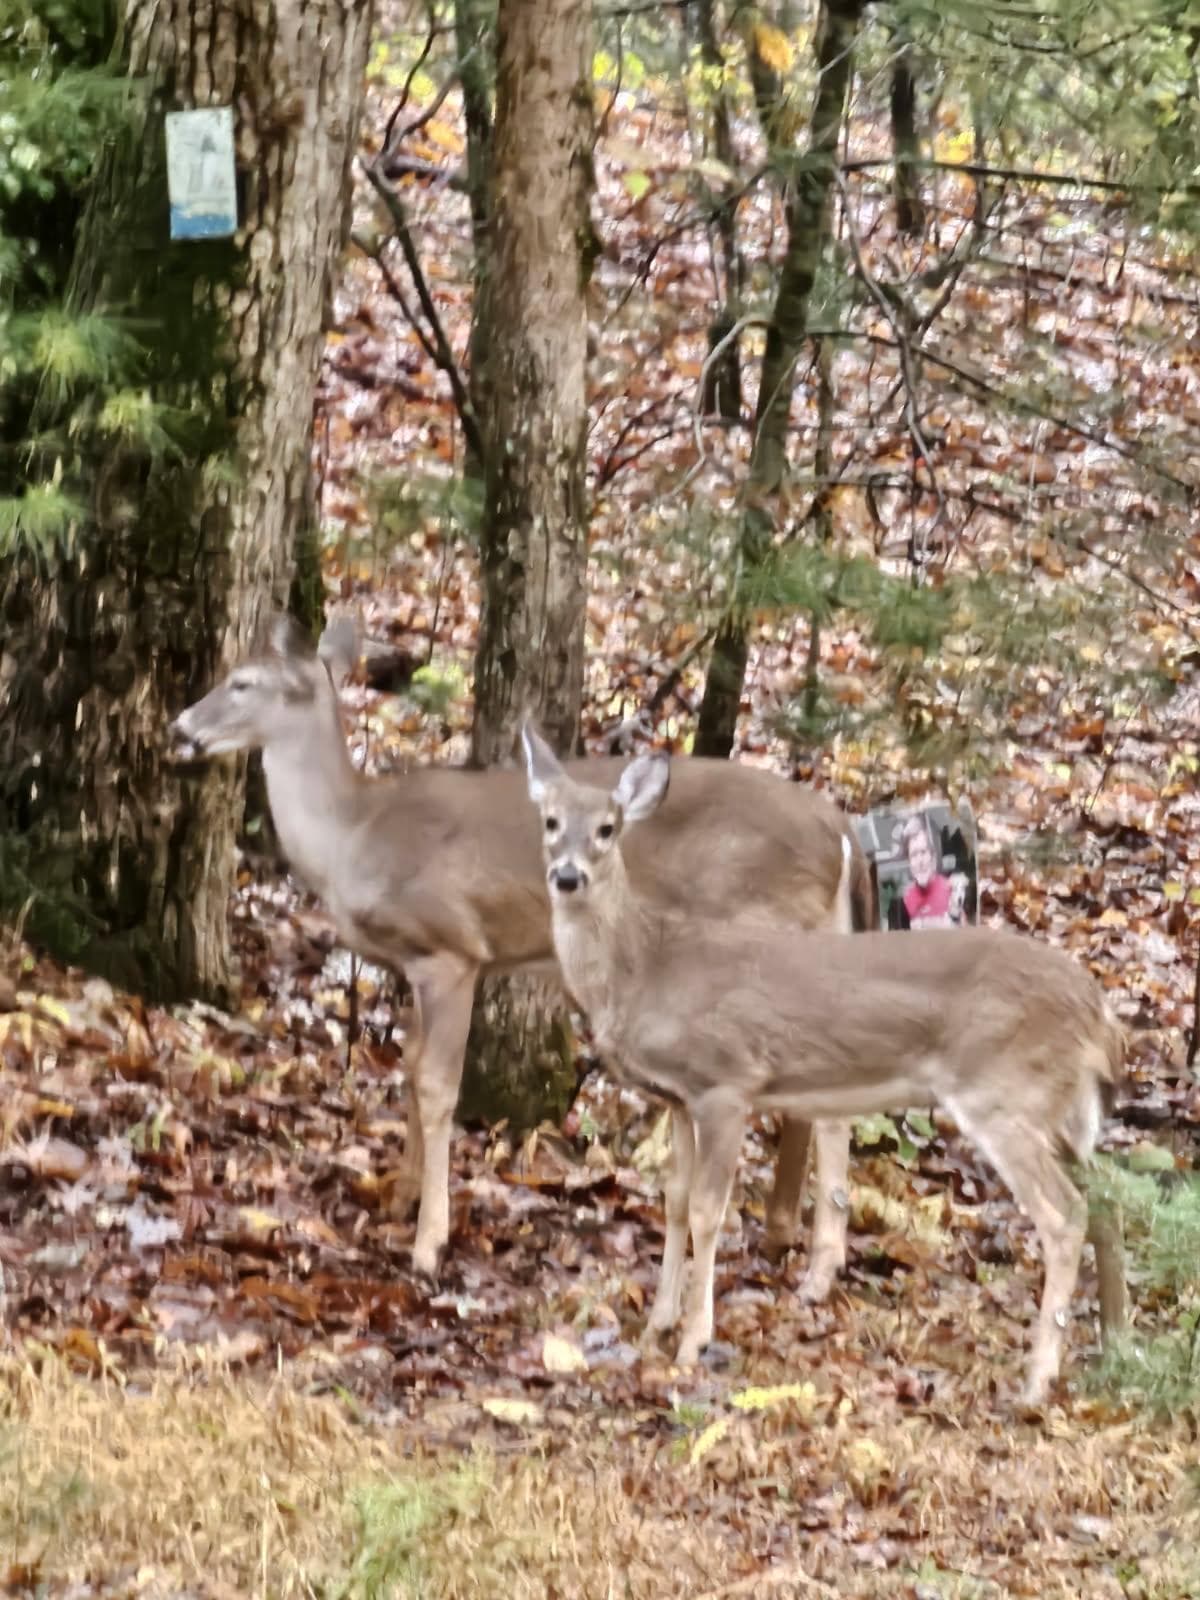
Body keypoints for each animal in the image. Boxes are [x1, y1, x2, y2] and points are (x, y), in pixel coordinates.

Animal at [167, 615, 875, 1310]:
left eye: (242, 682)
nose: (180, 727)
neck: (354, 834)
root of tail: (841, 831)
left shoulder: (452, 949)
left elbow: (437, 1085)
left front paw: (429, 1239)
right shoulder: (413, 962)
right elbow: (411, 1066)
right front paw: (400, 1196)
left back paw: (819, 1268)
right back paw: (785, 1237)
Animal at [521, 724, 1125, 1405]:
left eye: (608, 827)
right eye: (550, 821)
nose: (567, 877)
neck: (646, 968)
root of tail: (1101, 1013)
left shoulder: (726, 1081)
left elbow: (707, 1209)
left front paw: (693, 1339)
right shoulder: (675, 1096)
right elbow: (673, 1201)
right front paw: (657, 1323)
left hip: (1002, 1093)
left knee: (1065, 1216)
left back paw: (1037, 1380)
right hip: (1056, 1109)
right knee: (1108, 1201)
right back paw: (1115, 1345)